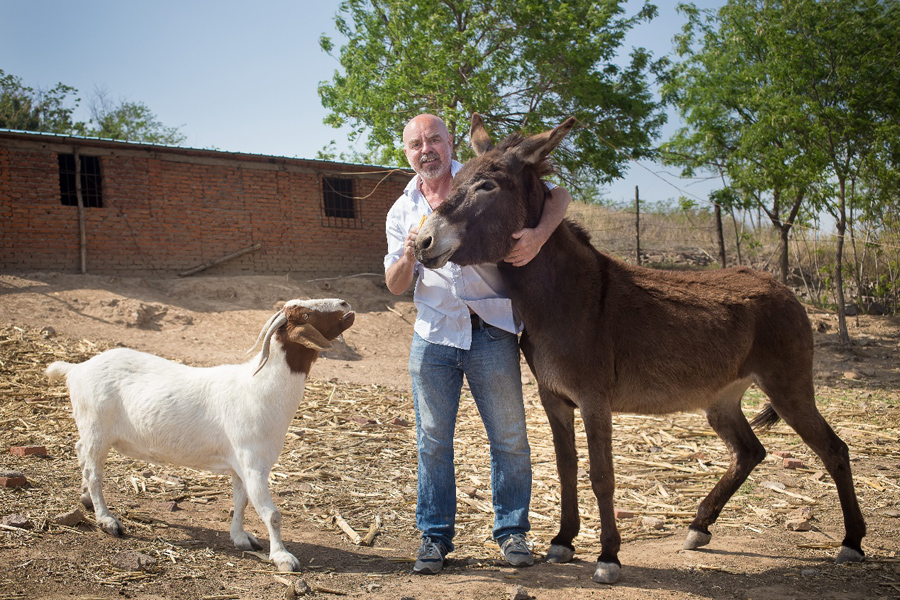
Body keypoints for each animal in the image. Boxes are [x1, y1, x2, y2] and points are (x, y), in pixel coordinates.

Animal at [46, 298, 356, 572]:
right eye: (305, 314)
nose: (345, 305)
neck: (259, 388)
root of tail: (76, 368)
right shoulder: (254, 464)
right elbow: (272, 514)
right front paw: (282, 558)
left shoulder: (240, 465)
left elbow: (241, 502)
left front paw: (241, 538)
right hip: (96, 427)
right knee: (95, 472)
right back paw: (107, 520)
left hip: (91, 430)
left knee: (81, 453)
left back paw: (86, 498)